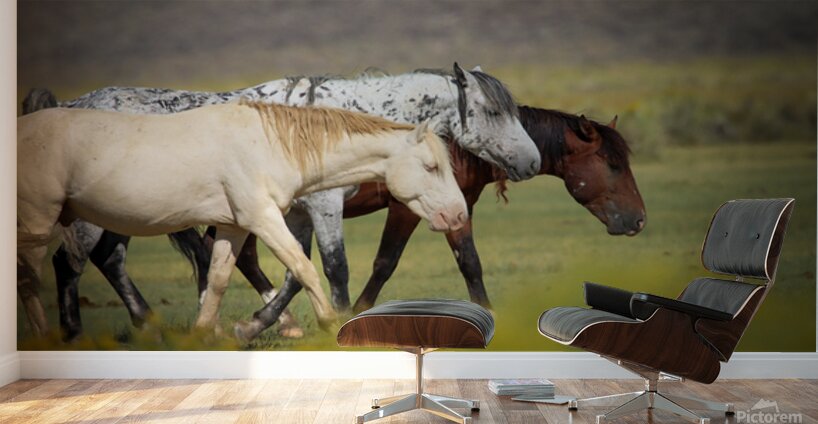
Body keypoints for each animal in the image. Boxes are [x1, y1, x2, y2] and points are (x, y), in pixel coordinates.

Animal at [23, 63, 537, 341]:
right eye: (494, 110)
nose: (532, 161)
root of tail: (70, 106)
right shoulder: (324, 207)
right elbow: (333, 267)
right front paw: (335, 323)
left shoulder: (297, 213)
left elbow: (295, 273)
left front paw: (257, 325)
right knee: (70, 264)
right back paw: (72, 333)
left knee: (110, 260)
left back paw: (151, 326)